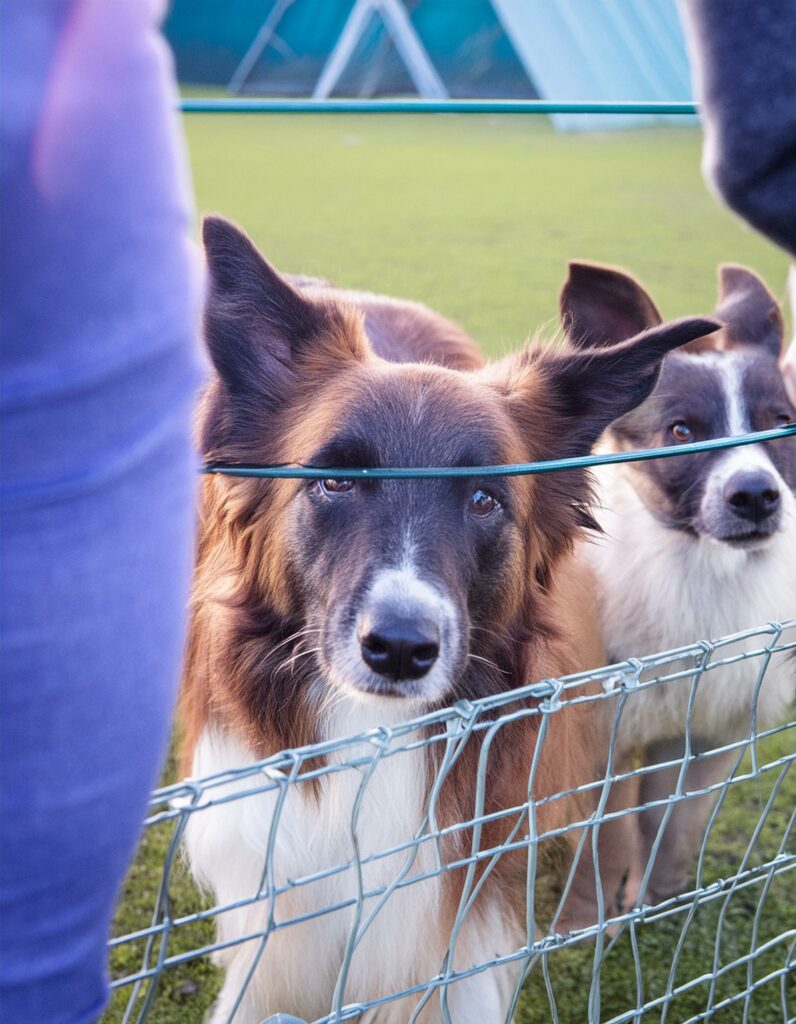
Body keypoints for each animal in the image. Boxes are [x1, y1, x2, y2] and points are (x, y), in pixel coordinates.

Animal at [557, 262, 794, 905]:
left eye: (783, 423)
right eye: (683, 430)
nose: (757, 497)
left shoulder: (713, 732)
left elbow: (673, 824)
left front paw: (656, 899)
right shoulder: (601, 741)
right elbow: (607, 840)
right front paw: (588, 918)